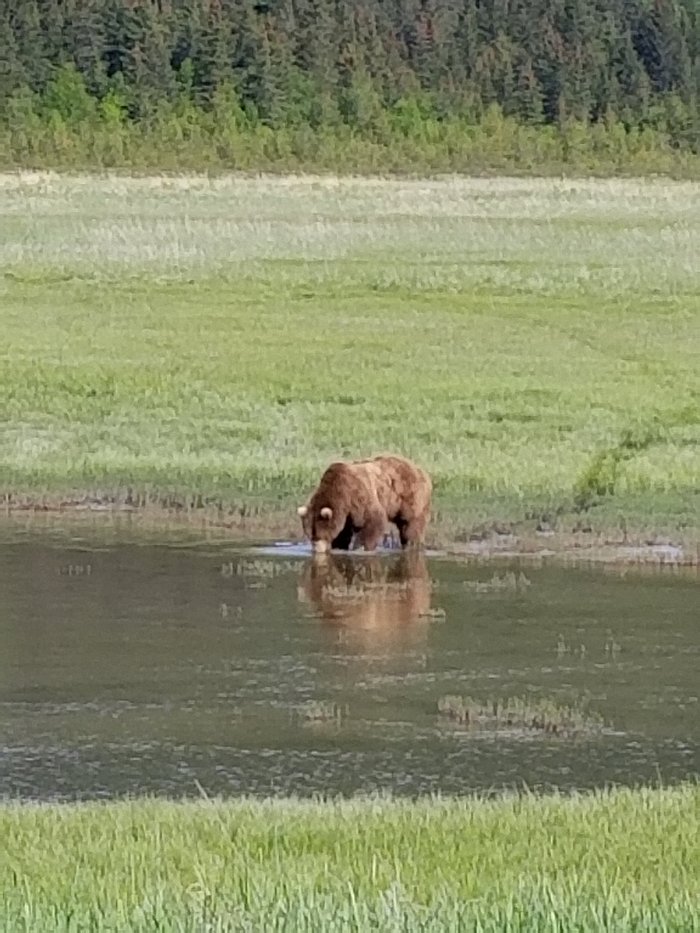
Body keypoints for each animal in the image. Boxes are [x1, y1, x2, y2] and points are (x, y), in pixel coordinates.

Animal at [296, 454, 432, 552]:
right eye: (310, 535)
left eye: (319, 535)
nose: (317, 550)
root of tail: (421, 471)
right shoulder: (346, 512)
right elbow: (343, 532)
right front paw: (339, 546)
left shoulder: (358, 496)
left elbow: (373, 521)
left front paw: (360, 548)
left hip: (410, 497)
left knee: (410, 525)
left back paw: (411, 545)